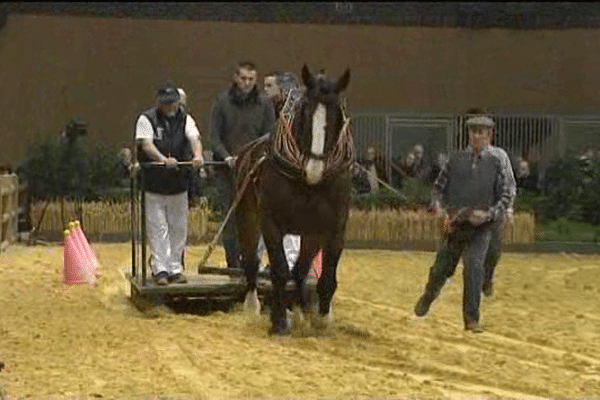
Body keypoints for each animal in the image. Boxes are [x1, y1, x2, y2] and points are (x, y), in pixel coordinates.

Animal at [234, 65, 354, 334]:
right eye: (306, 113)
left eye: (338, 116)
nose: (314, 169)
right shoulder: (270, 222)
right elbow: (279, 269)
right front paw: (279, 321)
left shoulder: (334, 227)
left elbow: (326, 277)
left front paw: (321, 318)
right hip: (247, 217)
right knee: (251, 260)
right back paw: (252, 305)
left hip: (310, 233)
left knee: (300, 269)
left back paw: (300, 310)